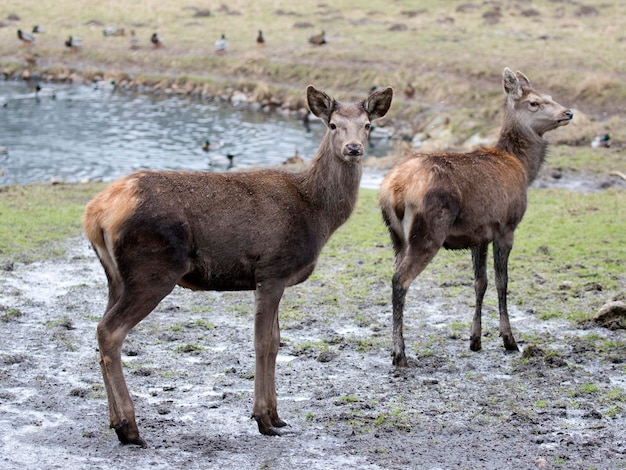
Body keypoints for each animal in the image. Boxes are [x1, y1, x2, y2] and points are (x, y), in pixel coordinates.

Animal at [83, 85, 390, 448]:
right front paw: (263, 419)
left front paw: (277, 415)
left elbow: (276, 340)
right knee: (110, 330)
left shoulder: (274, 277)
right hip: (153, 269)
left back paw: (115, 421)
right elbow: (263, 342)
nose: (353, 148)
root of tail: (95, 213)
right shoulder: (272, 269)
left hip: (116, 277)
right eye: (332, 125)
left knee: (100, 328)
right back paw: (130, 427)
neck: (317, 213)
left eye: (368, 125)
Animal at [376, 67, 572, 368]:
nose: (568, 112)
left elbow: (480, 283)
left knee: (395, 274)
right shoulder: (506, 227)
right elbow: (503, 282)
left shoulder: (479, 234)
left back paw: (393, 350)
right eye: (534, 102)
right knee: (400, 281)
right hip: (428, 231)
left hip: (396, 237)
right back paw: (400, 354)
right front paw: (509, 339)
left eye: (550, 96)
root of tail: (394, 189)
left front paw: (475, 339)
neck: (523, 169)